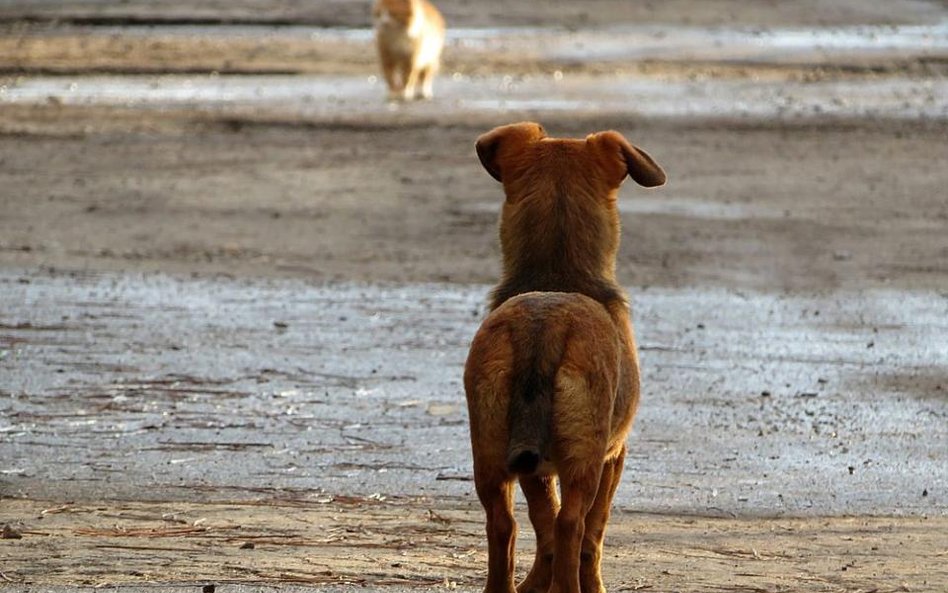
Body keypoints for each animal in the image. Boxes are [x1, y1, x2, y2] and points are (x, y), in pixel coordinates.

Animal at [462, 121, 664, 592]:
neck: (557, 274)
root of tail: (542, 327)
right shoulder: (613, 455)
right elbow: (592, 533)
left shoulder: (534, 470)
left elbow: (543, 524)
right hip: (583, 463)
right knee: (573, 523)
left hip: (489, 454)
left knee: (505, 525)